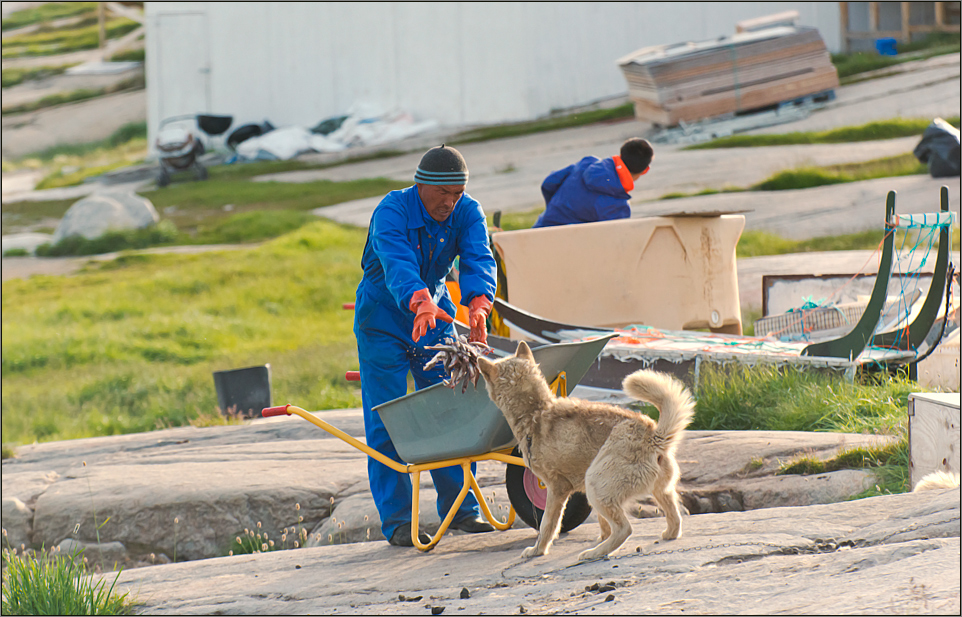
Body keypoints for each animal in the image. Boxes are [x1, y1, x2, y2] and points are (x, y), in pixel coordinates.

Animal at [478, 340, 688, 560]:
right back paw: (666, 534)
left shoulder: (557, 488)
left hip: (595, 483)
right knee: (675, 520)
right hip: (658, 490)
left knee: (624, 529)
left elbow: (547, 525)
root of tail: (653, 435)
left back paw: (594, 553)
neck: (535, 412)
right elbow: (602, 524)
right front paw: (601, 537)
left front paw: (538, 550)